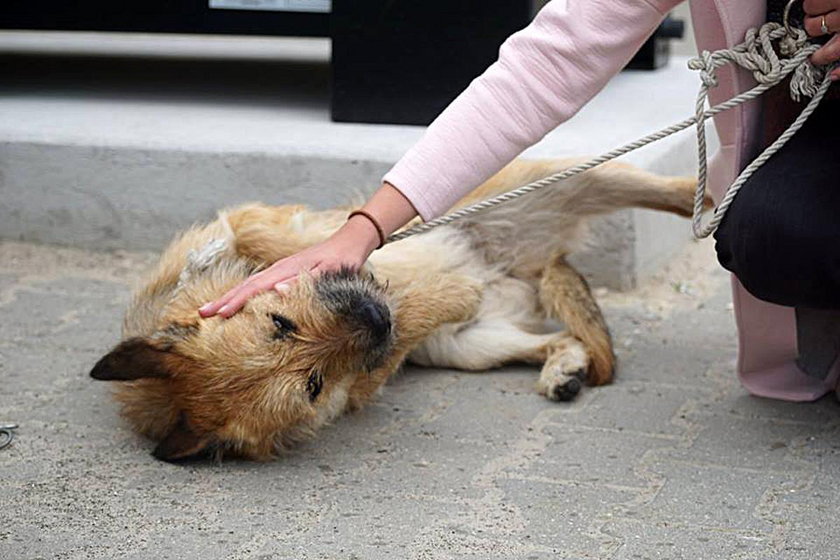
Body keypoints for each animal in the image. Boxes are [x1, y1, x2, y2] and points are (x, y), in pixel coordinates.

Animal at [90, 156, 708, 460]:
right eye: (312, 384)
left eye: (279, 323)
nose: (373, 317)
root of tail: (531, 263)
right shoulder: (372, 371)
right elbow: (408, 324)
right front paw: (439, 293)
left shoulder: (255, 224)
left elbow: (275, 240)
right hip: (469, 346)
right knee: (558, 337)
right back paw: (562, 368)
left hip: (563, 180)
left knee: (672, 189)